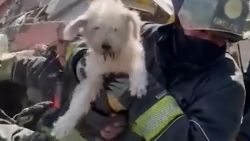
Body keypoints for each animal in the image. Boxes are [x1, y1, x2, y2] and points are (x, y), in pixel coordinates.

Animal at [51, 0, 147, 139]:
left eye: (115, 28)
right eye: (96, 28)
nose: (106, 45)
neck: (112, 59)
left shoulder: (135, 52)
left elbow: (137, 65)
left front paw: (138, 84)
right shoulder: (92, 77)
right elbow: (79, 101)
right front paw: (64, 124)